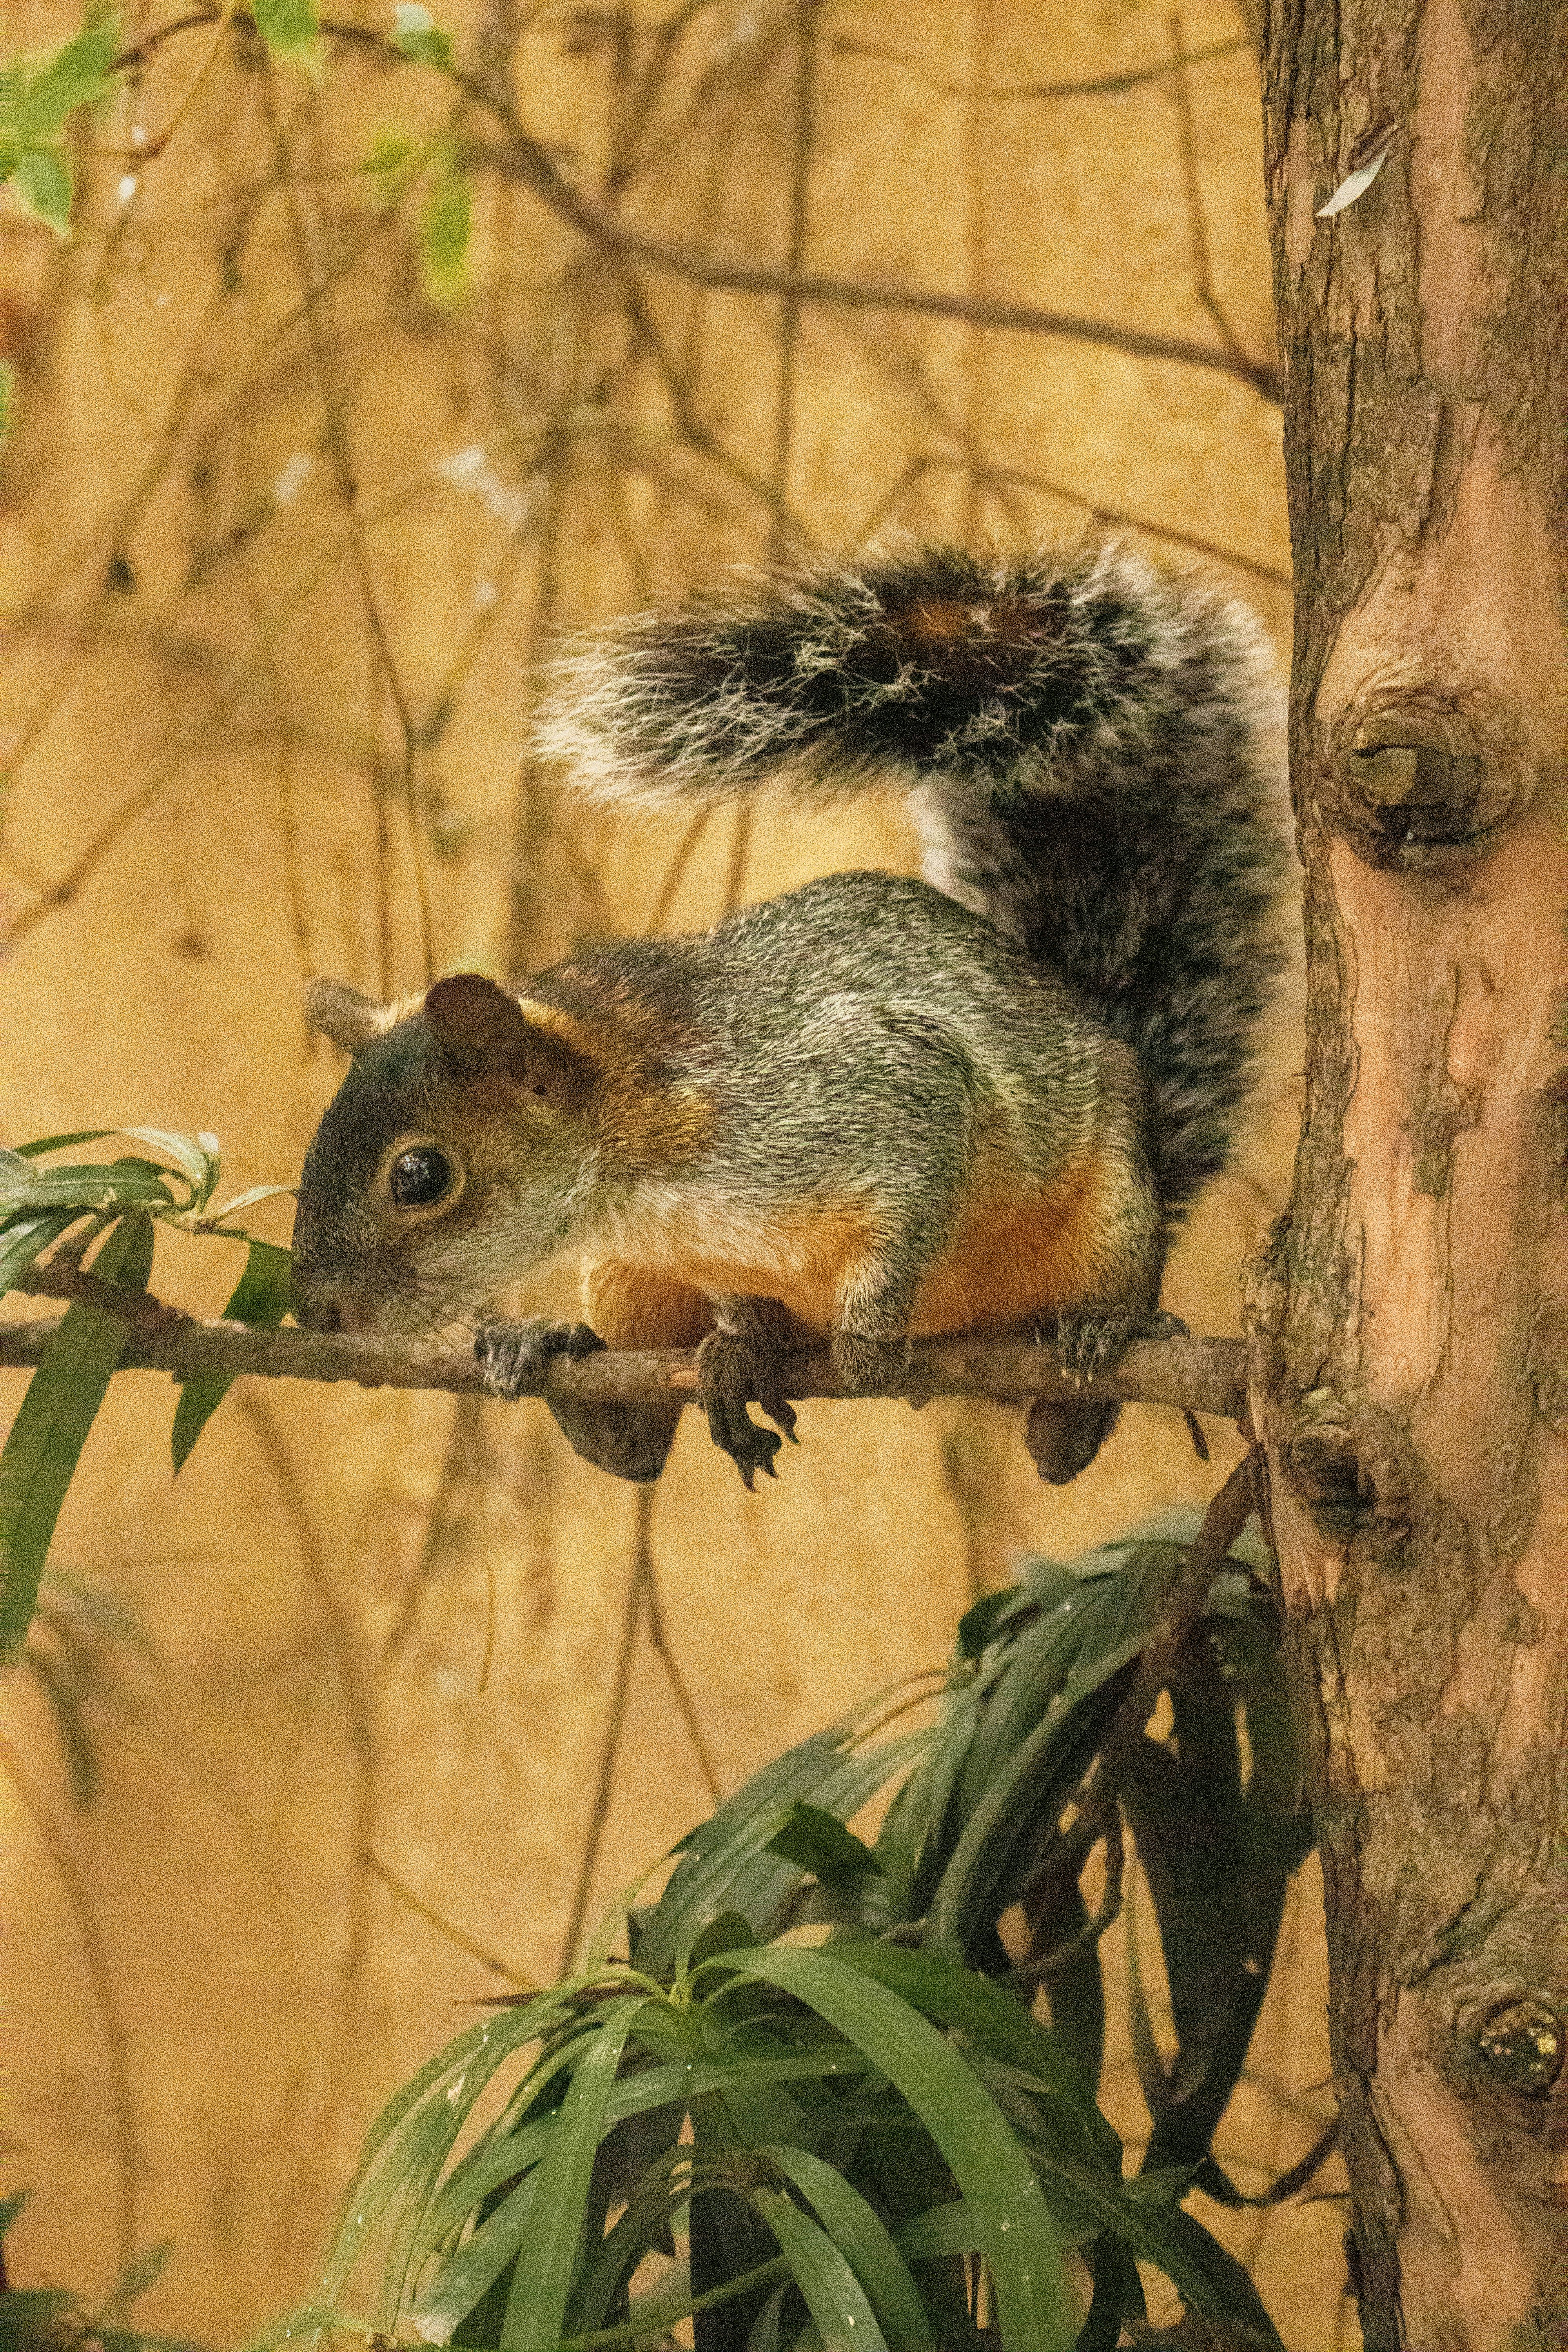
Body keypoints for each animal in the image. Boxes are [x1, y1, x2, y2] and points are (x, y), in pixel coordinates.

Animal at [290, 540, 1286, 1489]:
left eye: (420, 1175)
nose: (314, 1310)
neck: (646, 1167)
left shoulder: (883, 1090)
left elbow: (907, 1206)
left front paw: (868, 1337)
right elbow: (737, 1315)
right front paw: (741, 1345)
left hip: (1107, 1215)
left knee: (1061, 1440)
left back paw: (1095, 1342)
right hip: (625, 1285)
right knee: (633, 1448)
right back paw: (550, 1348)